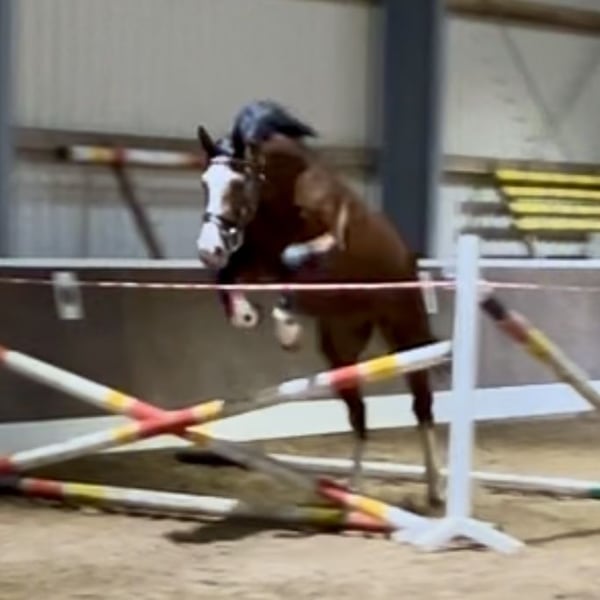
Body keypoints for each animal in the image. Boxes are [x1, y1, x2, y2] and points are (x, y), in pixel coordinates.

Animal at [194, 111, 444, 508]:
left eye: (237, 183)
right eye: (205, 182)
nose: (208, 250)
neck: (283, 197)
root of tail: (409, 257)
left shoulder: (326, 250)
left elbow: (292, 261)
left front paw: (288, 330)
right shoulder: (257, 261)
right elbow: (230, 278)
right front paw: (246, 315)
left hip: (406, 331)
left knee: (422, 405)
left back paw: (434, 490)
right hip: (341, 346)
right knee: (359, 413)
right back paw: (352, 492)